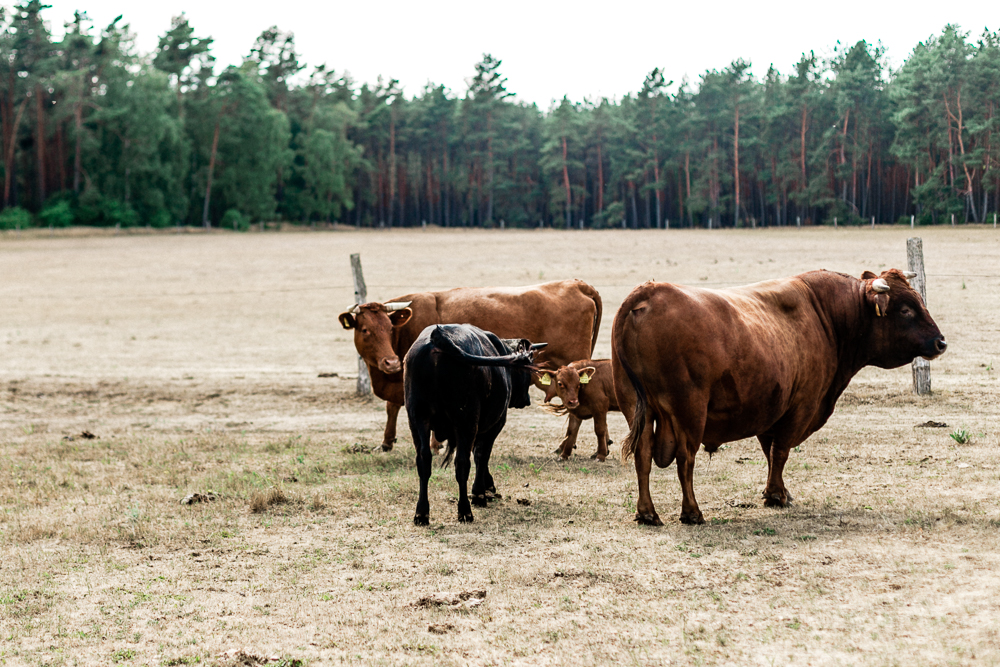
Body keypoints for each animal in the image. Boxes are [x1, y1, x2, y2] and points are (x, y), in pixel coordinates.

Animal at [340, 280, 600, 452]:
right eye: (365, 330)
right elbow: (391, 408)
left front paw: (434, 444)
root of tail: (576, 284)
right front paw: (386, 442)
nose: (391, 362)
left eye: (389, 328)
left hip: (571, 371)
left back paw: (565, 448)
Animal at [400, 324, 548, 528]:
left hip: (417, 419)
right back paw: (465, 511)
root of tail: (436, 339)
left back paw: (421, 513)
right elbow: (481, 455)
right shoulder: (493, 425)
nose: (526, 400)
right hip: (466, 420)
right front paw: (480, 492)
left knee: (424, 460)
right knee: (462, 463)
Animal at [608, 270, 944, 528]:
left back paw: (647, 513)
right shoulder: (800, 406)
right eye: (906, 310)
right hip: (689, 410)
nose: (941, 342)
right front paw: (776, 495)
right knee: (685, 460)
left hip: (637, 408)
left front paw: (777, 491)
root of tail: (648, 292)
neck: (827, 315)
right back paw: (692, 512)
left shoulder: (769, 408)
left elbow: (769, 453)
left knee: (643, 456)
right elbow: (780, 452)